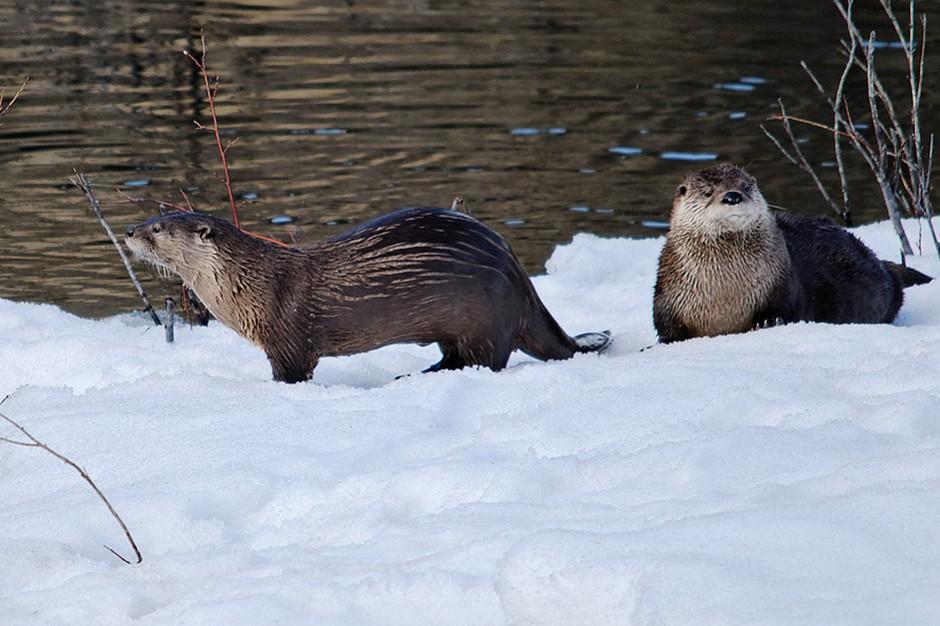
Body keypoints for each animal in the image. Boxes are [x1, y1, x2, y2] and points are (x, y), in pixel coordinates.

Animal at [125, 208, 611, 382]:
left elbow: (292, 374)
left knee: (483, 361)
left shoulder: (288, 339)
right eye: (152, 215)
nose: (130, 230)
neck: (256, 283)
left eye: (159, 228)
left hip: (485, 319)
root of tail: (518, 278)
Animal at [653, 164, 932, 343]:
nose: (732, 196)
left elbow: (787, 309)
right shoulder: (669, 297)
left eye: (746, 187)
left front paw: (767, 322)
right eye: (707, 192)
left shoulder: (782, 284)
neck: (724, 293)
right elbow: (665, 327)